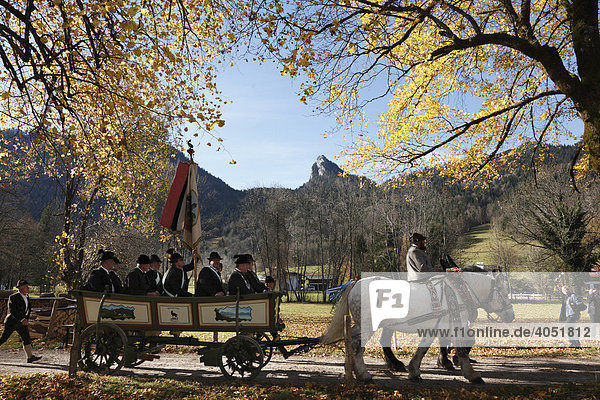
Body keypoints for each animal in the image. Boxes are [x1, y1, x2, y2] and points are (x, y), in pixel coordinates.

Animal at [322, 272, 512, 384]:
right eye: (503, 293)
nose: (511, 315)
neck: (457, 292)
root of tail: (356, 283)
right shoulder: (455, 325)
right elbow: (460, 349)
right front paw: (472, 374)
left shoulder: (437, 326)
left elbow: (423, 348)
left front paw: (414, 371)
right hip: (369, 325)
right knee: (357, 346)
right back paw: (364, 374)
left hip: (363, 324)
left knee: (351, 339)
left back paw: (353, 369)